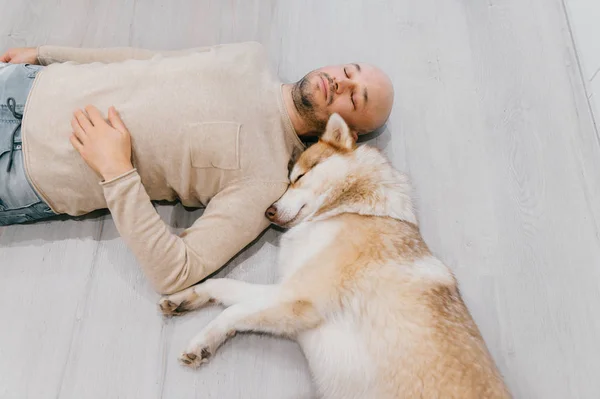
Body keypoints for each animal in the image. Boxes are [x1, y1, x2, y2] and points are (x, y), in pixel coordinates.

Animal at [159, 114, 510, 398]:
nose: (268, 211)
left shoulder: (298, 298)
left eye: (299, 177)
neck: (348, 209)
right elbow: (224, 286)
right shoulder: (286, 289)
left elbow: (232, 311)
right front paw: (185, 299)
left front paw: (201, 342)